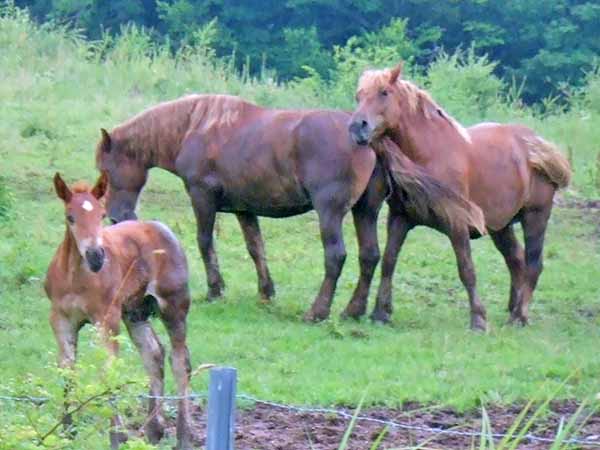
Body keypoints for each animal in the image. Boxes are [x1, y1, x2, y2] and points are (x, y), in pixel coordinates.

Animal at [45, 172, 193, 450]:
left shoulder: (106, 318)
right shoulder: (61, 319)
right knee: (153, 353)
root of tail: (162, 228)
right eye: (70, 217)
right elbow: (67, 369)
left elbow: (108, 369)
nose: (95, 256)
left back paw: (184, 436)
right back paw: (154, 430)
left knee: (181, 362)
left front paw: (117, 435)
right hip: (135, 312)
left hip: (173, 307)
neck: (74, 276)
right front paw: (67, 431)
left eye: (102, 215)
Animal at [92, 94, 478, 320]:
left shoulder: (202, 197)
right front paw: (266, 292)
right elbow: (256, 248)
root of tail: (367, 136)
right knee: (369, 256)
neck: (197, 126)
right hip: (364, 212)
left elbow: (204, 242)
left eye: (105, 170)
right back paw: (353, 311)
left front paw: (215, 289)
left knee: (336, 256)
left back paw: (318, 311)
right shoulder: (244, 208)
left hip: (330, 211)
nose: (117, 217)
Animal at [352, 63, 572, 330]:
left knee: (533, 264)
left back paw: (520, 316)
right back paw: (513, 308)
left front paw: (478, 319)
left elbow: (466, 269)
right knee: (516, 260)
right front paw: (380, 313)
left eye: (384, 92)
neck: (430, 153)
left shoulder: (457, 223)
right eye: (359, 95)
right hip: (501, 227)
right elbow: (388, 262)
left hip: (535, 217)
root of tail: (539, 146)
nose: (357, 126)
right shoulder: (400, 218)